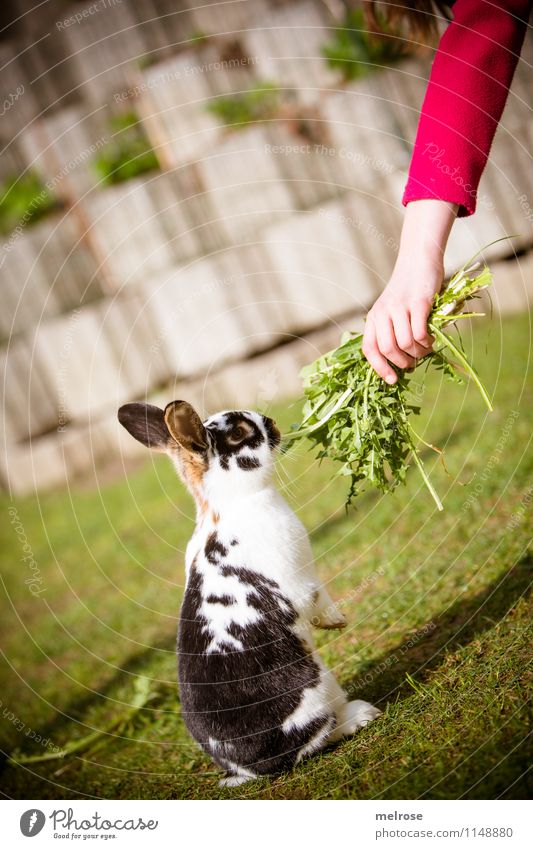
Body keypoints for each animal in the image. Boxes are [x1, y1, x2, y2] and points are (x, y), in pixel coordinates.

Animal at [118, 400, 380, 784]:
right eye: (239, 432)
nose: (271, 422)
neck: (231, 505)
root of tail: (247, 768)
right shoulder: (303, 584)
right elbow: (319, 601)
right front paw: (338, 621)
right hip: (317, 693)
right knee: (313, 742)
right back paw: (360, 716)